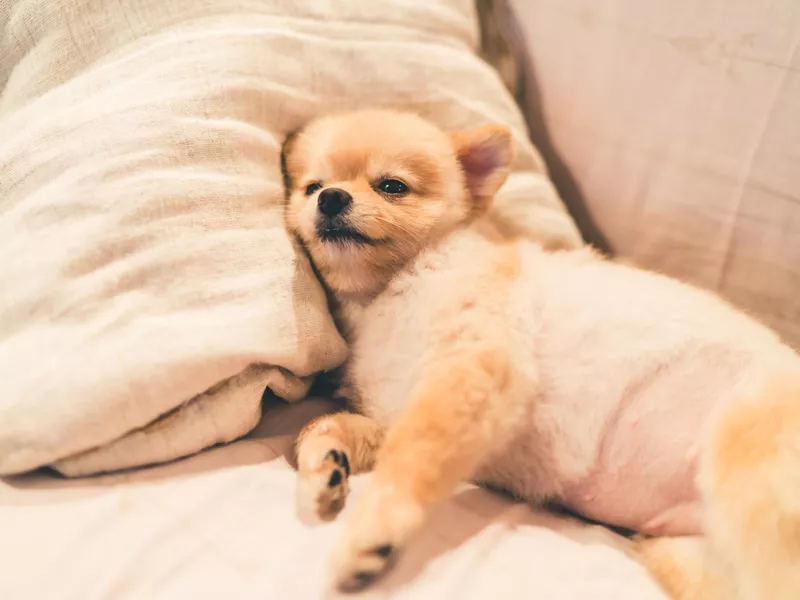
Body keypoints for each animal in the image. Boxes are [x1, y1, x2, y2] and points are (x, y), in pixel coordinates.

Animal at [282, 110, 800, 596]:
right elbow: (323, 426)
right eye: (311, 187)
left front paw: (371, 532)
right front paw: (324, 466)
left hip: (748, 468)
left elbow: (411, 462)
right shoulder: (398, 411)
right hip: (689, 555)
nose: (331, 197)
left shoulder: (472, 373)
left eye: (392, 186)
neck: (388, 294)